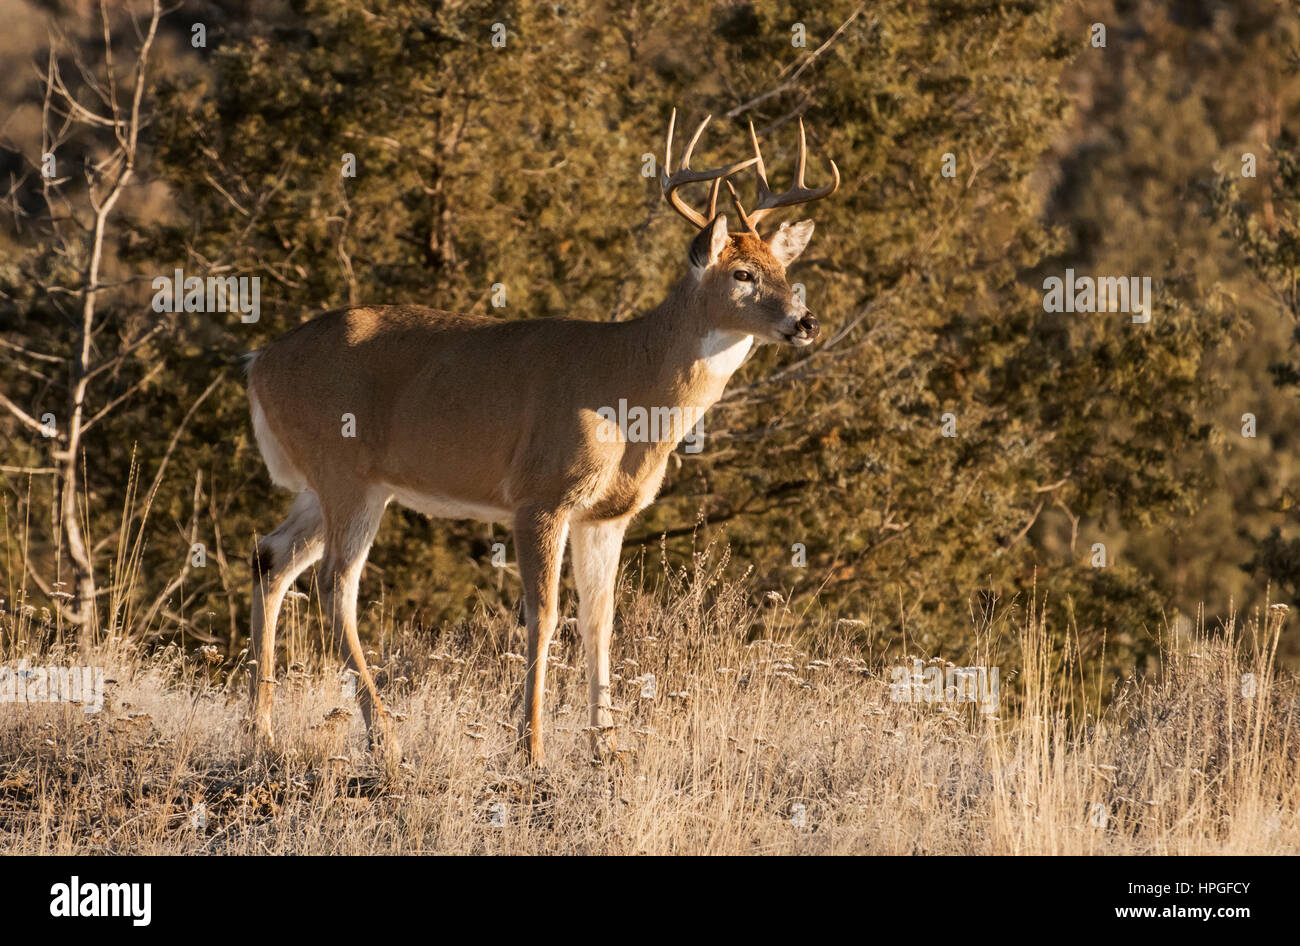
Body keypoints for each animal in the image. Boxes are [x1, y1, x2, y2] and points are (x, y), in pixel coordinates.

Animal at [244, 109, 839, 767]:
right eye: (742, 273)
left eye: (786, 272)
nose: (806, 322)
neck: (629, 389)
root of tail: (258, 362)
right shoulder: (540, 496)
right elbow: (545, 616)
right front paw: (531, 749)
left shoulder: (606, 515)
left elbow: (601, 620)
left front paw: (607, 750)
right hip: (346, 472)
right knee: (335, 584)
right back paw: (385, 736)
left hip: (328, 484)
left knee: (272, 555)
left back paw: (260, 730)